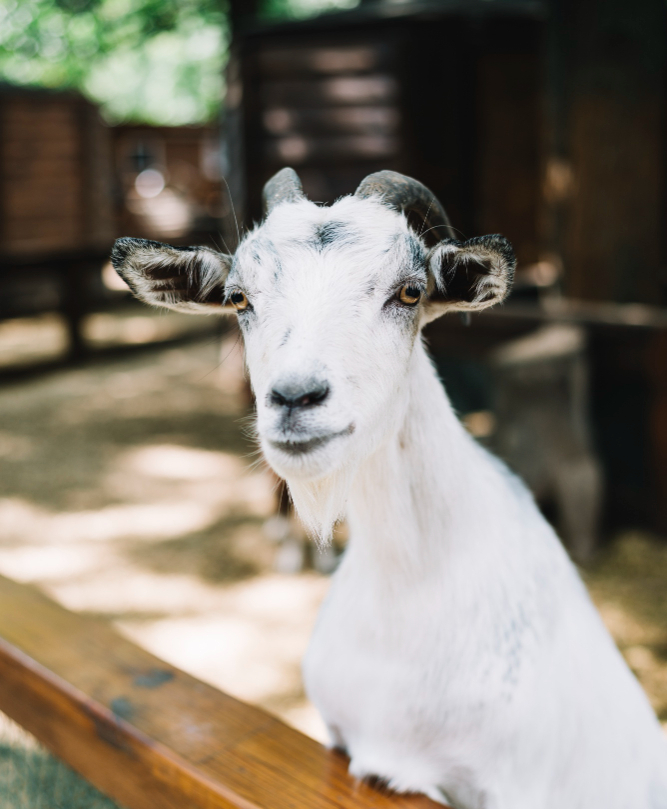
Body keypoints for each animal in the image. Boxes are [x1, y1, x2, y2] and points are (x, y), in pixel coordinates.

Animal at [112, 167, 667, 804]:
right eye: (239, 297)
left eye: (409, 292)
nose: (296, 398)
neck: (411, 582)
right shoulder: (338, 736)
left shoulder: (514, 783)